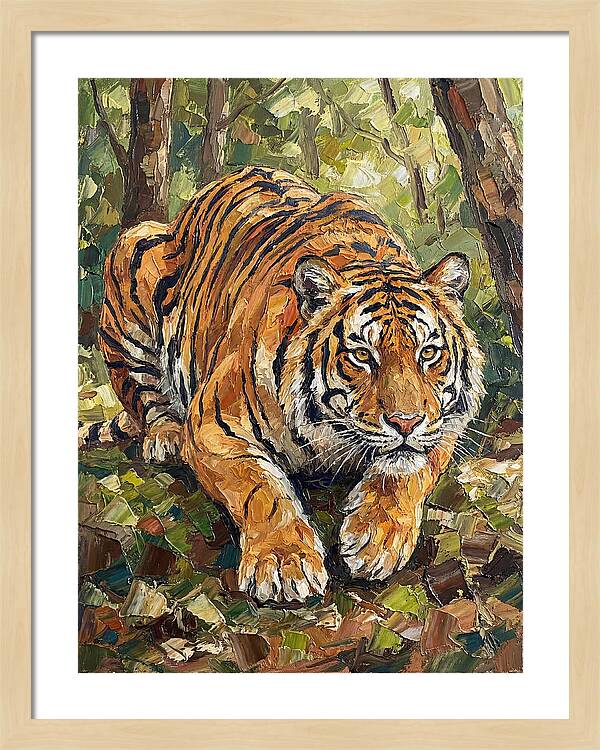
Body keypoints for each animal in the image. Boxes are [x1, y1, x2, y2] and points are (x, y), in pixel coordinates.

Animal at [80, 166, 485, 603]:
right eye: (362, 355)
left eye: (429, 353)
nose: (406, 423)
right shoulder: (214, 426)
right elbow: (261, 488)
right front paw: (282, 559)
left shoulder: (445, 423)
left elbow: (406, 473)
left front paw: (376, 540)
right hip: (134, 255)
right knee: (143, 395)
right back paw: (165, 435)